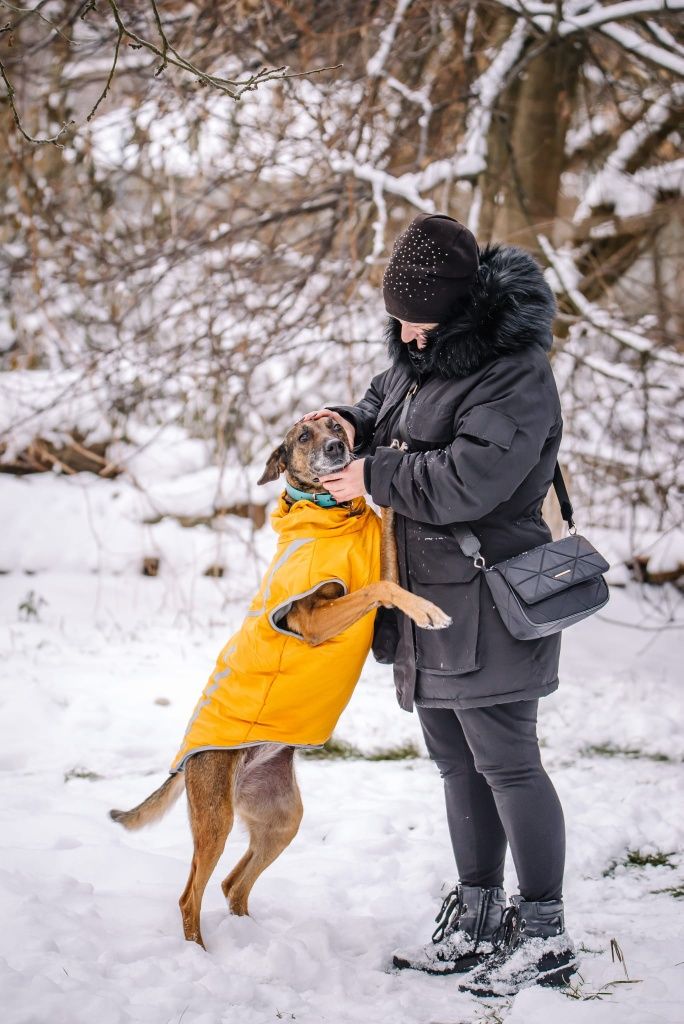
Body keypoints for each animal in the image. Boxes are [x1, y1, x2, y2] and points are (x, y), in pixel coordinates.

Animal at [109, 415, 450, 950]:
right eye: (304, 436)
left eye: (334, 426)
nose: (336, 447)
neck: (331, 510)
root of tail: (186, 763)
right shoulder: (313, 619)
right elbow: (380, 586)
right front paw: (430, 612)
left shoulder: (383, 566)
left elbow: (388, 553)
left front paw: (390, 468)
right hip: (216, 819)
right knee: (191, 895)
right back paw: (200, 953)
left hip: (282, 819)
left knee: (232, 884)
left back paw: (258, 938)